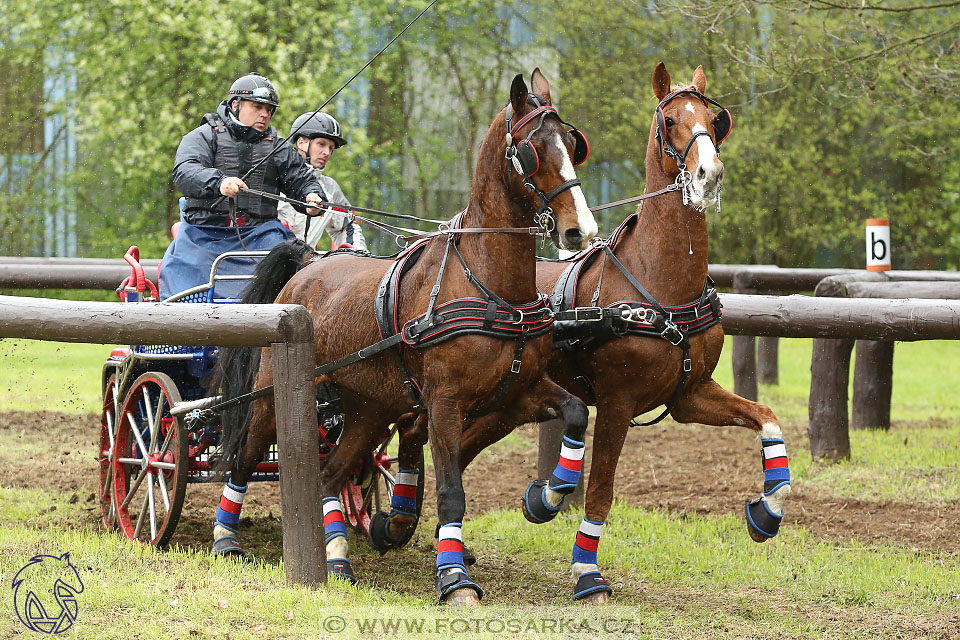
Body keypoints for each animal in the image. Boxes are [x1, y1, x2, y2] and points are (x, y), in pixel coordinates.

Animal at [211, 70, 600, 604]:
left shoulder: (521, 389)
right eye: (532, 149)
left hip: (369, 407)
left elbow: (577, 413)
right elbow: (451, 492)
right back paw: (225, 538)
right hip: (275, 397)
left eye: (573, 144)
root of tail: (311, 264)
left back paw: (338, 558)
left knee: (331, 473)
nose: (580, 230)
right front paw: (454, 579)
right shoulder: (444, 403)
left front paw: (544, 498)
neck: (487, 281)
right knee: (244, 458)